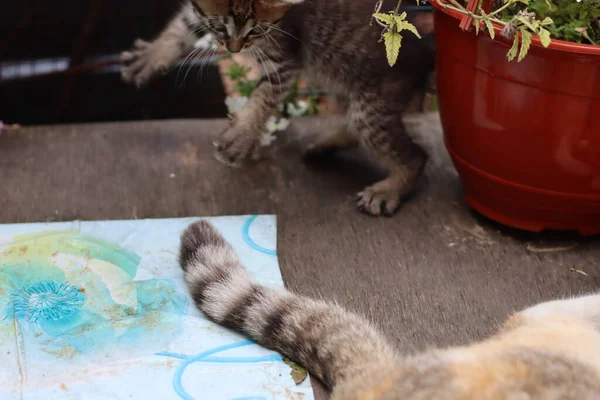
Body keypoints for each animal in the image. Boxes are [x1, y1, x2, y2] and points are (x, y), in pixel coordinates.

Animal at [122, 0, 434, 216]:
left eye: (256, 29)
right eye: (220, 27)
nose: (234, 48)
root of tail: (426, 57)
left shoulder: (283, 57)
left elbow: (265, 95)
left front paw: (242, 136)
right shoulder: (200, 13)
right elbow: (183, 24)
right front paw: (152, 56)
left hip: (371, 104)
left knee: (415, 155)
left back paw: (388, 190)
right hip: (341, 81)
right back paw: (325, 145)